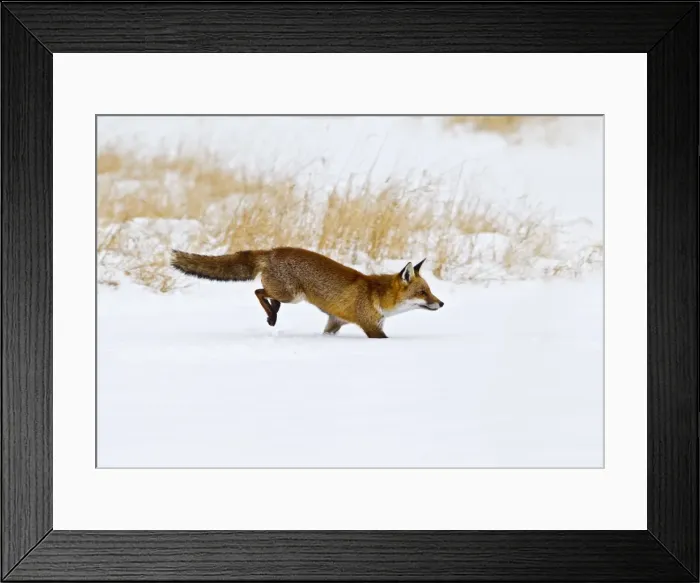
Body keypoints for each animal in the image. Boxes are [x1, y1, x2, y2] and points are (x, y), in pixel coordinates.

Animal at [170, 247, 444, 339]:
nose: (441, 304)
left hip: (288, 295)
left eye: (430, 291)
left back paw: (273, 313)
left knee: (266, 294)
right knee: (259, 291)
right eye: (423, 292)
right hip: (292, 295)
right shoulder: (371, 328)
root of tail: (272, 250)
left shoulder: (335, 322)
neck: (377, 295)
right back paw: (272, 316)